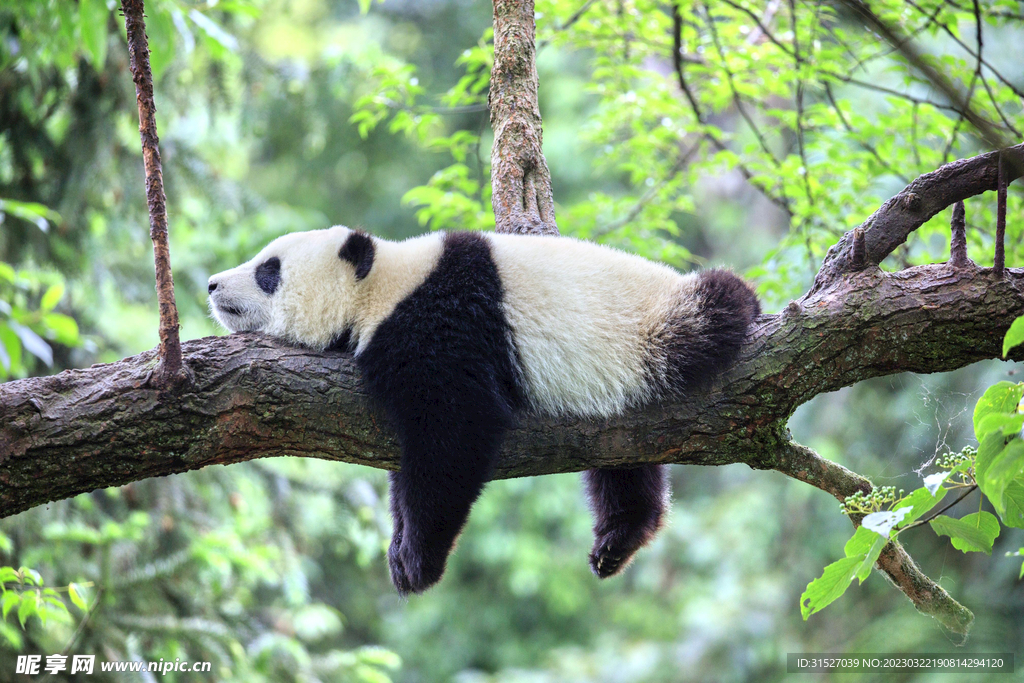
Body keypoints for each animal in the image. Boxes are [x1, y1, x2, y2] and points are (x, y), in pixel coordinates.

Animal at [207, 227, 757, 593]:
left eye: (268, 270)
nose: (212, 284)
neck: (382, 285)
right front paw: (399, 546)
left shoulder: (442, 324)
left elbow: (455, 432)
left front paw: (416, 561)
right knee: (623, 461)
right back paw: (618, 538)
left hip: (653, 331)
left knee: (716, 308)